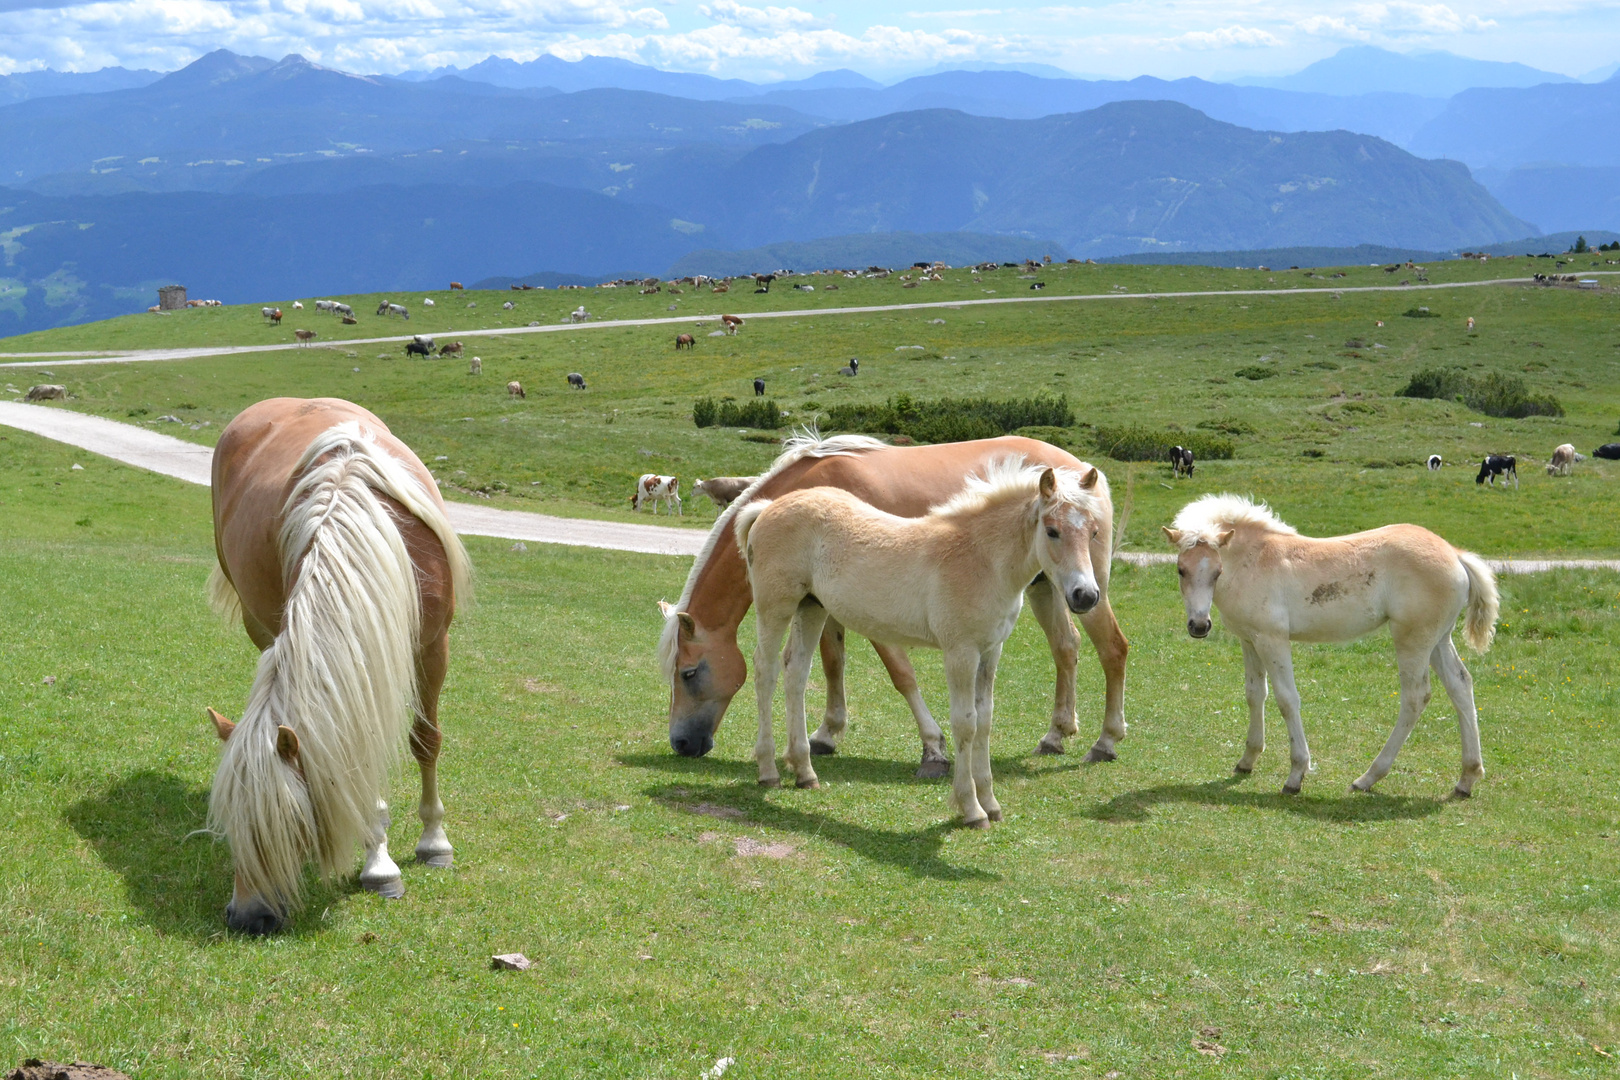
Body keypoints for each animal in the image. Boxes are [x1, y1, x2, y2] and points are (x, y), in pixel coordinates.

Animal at [202, 401, 469, 932]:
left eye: (289, 827)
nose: (245, 918)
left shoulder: (433, 647)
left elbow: (426, 741)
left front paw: (433, 843)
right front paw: (379, 861)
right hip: (261, 623)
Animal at [654, 433, 1127, 777]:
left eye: (689, 673)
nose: (681, 744)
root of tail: (1083, 471)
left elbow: (901, 674)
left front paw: (933, 748)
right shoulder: (824, 601)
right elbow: (832, 661)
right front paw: (826, 734)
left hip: (1088, 592)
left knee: (1112, 649)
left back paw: (1105, 741)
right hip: (1046, 588)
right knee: (1066, 647)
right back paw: (1056, 734)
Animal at [741, 459, 1108, 829]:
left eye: (1093, 532)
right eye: (1052, 530)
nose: (1086, 596)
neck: (980, 559)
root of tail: (767, 508)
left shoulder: (991, 651)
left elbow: (985, 721)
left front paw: (990, 803)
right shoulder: (960, 652)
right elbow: (965, 723)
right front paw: (971, 809)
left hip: (812, 607)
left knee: (796, 672)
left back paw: (804, 771)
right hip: (776, 607)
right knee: (765, 670)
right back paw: (769, 770)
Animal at [1166, 495, 1490, 799]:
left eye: (1217, 571)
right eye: (1181, 570)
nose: (1199, 626)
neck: (1254, 560)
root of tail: (1455, 554)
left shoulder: (1272, 639)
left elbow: (1287, 699)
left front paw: (1296, 774)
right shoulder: (1249, 639)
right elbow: (1255, 694)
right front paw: (1247, 760)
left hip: (1412, 639)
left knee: (1415, 697)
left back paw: (1368, 778)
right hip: (1438, 639)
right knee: (1461, 685)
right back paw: (1467, 778)